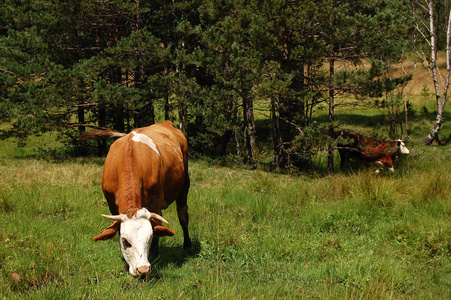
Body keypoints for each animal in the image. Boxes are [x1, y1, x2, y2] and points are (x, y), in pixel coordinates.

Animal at [91, 120, 192, 276]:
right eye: (126, 241)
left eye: (149, 238)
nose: (143, 269)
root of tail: (166, 122)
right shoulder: (111, 204)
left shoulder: (156, 199)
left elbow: (156, 224)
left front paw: (154, 252)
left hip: (184, 184)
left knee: (182, 216)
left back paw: (187, 244)